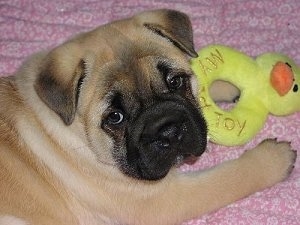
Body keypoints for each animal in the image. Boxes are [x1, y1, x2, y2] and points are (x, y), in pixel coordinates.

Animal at [0, 9, 296, 225]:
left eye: (175, 82)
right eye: (115, 117)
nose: (168, 131)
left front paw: (235, 85)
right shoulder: (163, 198)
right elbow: (229, 178)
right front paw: (273, 159)